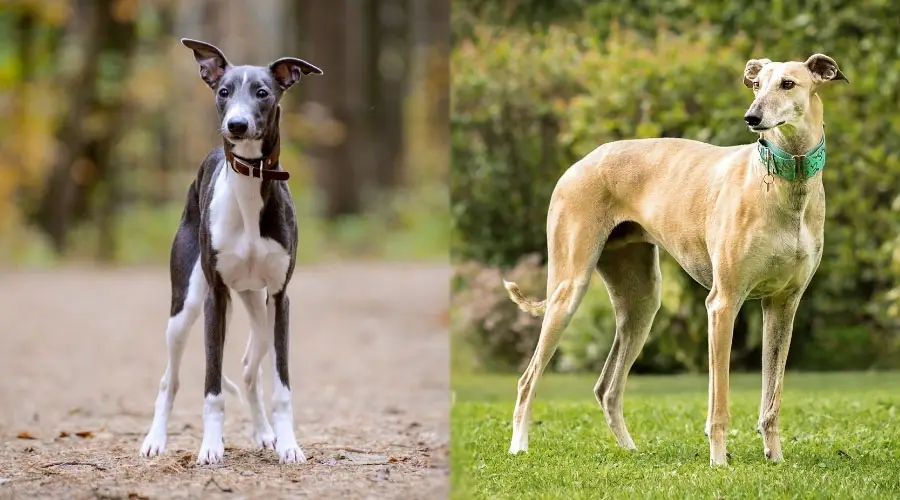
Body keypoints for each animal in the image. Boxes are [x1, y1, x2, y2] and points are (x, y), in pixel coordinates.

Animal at [141, 38, 324, 464]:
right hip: (184, 309)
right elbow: (211, 388)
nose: (236, 125)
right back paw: (155, 439)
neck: (251, 185)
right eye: (223, 92)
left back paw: (264, 432)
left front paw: (288, 444)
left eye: (263, 92)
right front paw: (210, 446)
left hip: (259, 312)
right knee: (169, 379)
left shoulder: (280, 298)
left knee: (248, 369)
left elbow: (281, 386)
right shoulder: (216, 296)